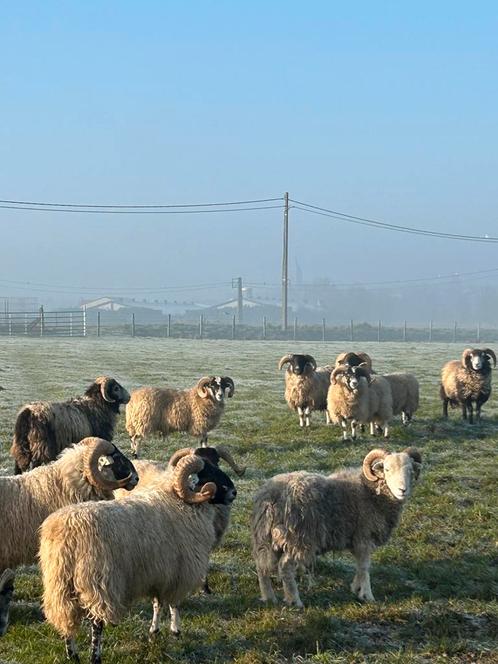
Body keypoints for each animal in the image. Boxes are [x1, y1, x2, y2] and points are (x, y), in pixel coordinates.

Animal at [40, 448, 238, 660]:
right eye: (207, 473)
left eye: (216, 464)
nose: (233, 492)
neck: (180, 501)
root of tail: (67, 534)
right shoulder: (178, 570)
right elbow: (174, 603)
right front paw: (175, 631)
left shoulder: (159, 572)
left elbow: (157, 602)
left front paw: (154, 632)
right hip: (99, 583)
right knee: (97, 625)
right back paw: (95, 656)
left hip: (59, 586)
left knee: (66, 620)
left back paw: (73, 655)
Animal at [253, 446, 420, 608]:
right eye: (387, 469)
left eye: (410, 471)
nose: (402, 490)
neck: (371, 492)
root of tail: (271, 498)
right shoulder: (364, 537)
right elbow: (365, 567)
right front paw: (367, 596)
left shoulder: (356, 541)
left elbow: (359, 566)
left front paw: (356, 588)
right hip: (298, 539)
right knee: (285, 567)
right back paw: (294, 601)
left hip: (266, 538)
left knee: (262, 566)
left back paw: (268, 597)